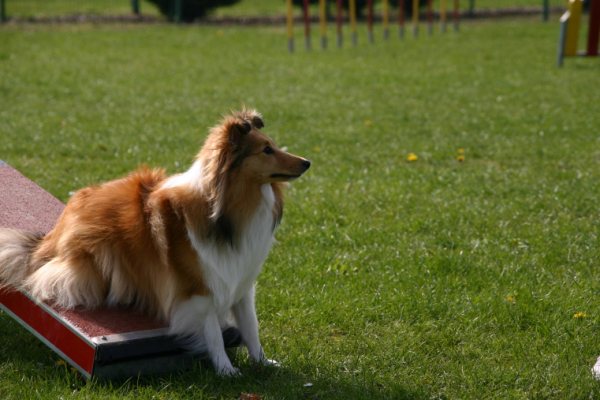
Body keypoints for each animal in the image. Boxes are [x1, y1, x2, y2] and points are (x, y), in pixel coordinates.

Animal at [0, 110, 310, 376]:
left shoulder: (241, 278)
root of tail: (54, 233)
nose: (307, 162)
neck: (227, 212)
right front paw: (226, 370)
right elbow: (212, 331)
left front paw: (264, 363)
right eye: (266, 150)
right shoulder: (199, 288)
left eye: (274, 145)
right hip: (93, 257)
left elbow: (251, 327)